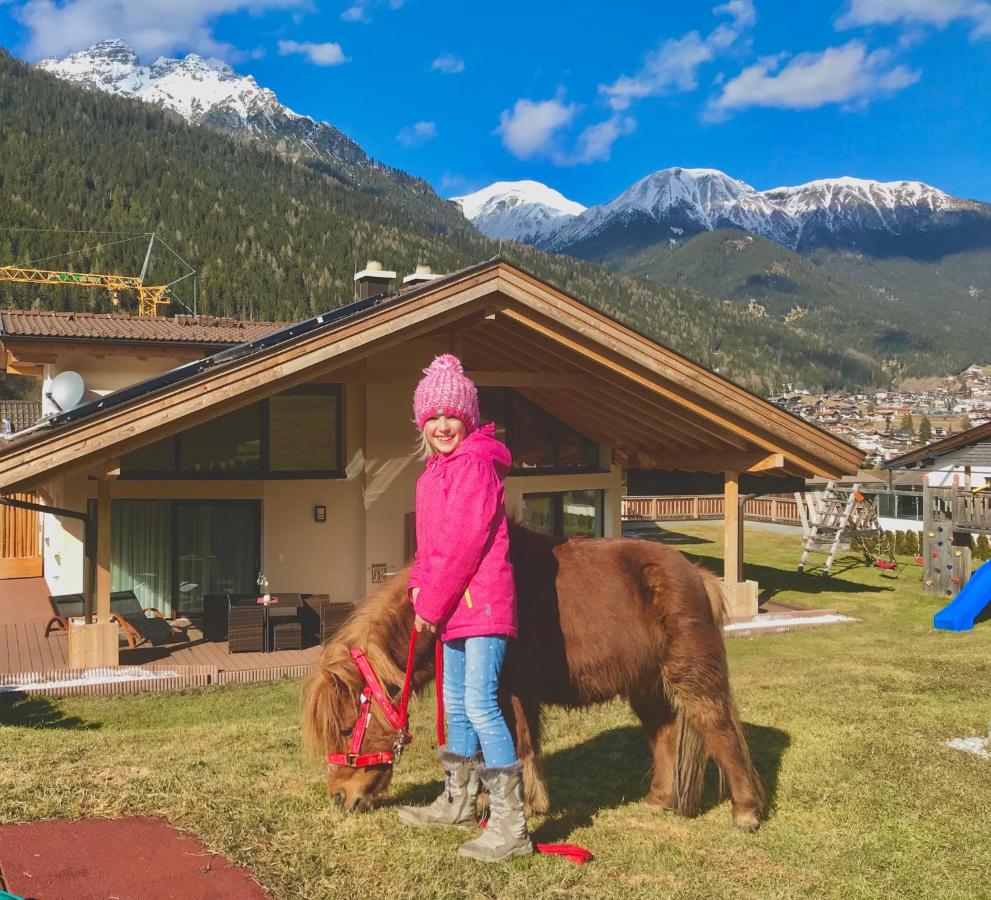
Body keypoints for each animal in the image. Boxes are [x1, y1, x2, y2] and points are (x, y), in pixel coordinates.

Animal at [302, 528, 768, 828]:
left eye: (345, 728)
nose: (340, 797)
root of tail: (699, 575)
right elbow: (503, 746)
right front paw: (501, 802)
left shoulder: (507, 692)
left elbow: (515, 745)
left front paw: (516, 806)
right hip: (646, 684)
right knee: (665, 733)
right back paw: (657, 800)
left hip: (690, 675)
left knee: (719, 728)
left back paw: (745, 812)